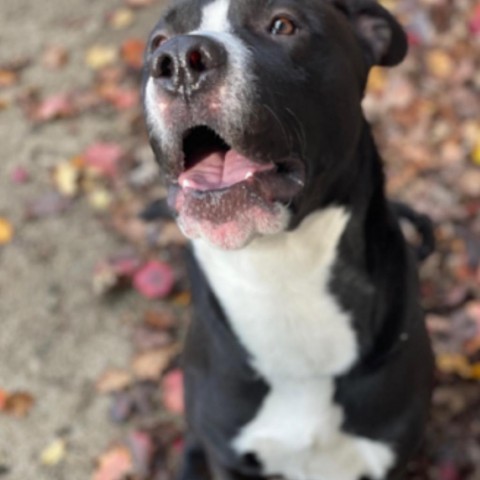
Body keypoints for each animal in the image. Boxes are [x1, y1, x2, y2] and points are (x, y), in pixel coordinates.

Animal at [142, 1, 436, 478]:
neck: (281, 277)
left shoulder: (388, 456)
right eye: (157, 42)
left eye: (282, 24)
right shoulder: (228, 457)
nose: (179, 61)